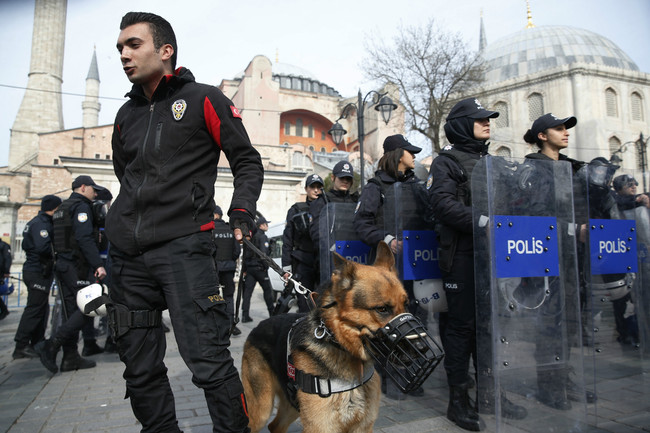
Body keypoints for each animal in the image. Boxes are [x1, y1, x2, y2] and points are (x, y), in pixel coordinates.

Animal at [240, 241, 408, 430]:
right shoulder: (320, 427)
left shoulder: (362, 427)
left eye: (406, 303)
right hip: (261, 409)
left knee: (275, 426)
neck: (341, 347)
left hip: (293, 405)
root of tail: (259, 326)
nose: (421, 347)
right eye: (382, 309)